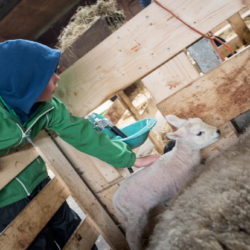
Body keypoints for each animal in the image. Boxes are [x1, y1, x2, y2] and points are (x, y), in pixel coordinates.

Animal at [112, 114, 220, 250]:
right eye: (199, 133)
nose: (218, 131)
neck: (181, 158)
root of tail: (115, 200)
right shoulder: (184, 183)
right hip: (134, 215)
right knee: (131, 237)